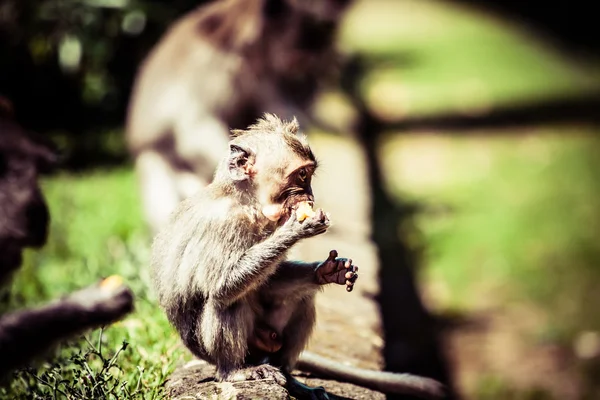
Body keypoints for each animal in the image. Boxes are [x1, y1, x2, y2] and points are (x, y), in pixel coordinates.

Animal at [148, 114, 442, 398]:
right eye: (301, 175)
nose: (310, 195)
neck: (248, 204)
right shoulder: (222, 225)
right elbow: (222, 286)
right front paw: (297, 228)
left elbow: (270, 283)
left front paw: (328, 271)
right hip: (216, 349)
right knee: (227, 302)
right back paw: (234, 371)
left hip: (267, 339)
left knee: (301, 296)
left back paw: (289, 376)